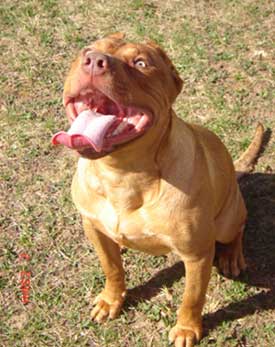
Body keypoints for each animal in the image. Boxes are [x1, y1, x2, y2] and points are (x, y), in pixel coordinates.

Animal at [52, 33, 266, 347]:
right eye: (87, 50)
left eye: (141, 63)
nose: (93, 60)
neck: (122, 175)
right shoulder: (92, 227)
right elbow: (112, 268)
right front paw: (111, 300)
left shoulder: (197, 255)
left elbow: (192, 298)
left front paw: (187, 329)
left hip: (228, 219)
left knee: (238, 227)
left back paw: (231, 256)